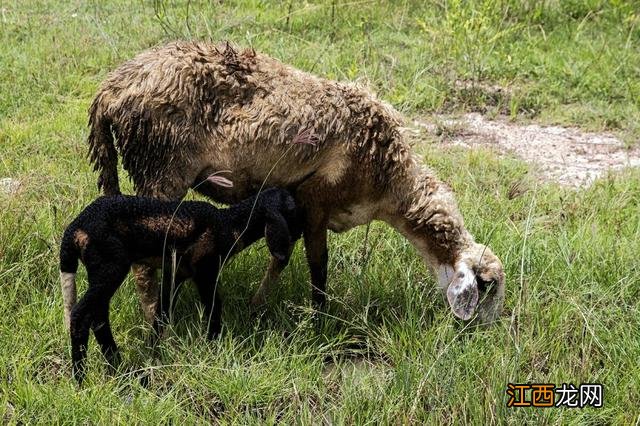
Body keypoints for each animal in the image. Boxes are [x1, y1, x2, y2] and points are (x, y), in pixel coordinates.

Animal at [60, 187, 300, 382]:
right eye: (292, 209)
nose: (298, 234)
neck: (229, 224)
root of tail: (74, 229)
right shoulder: (206, 270)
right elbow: (213, 308)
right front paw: (212, 346)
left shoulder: (175, 274)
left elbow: (162, 314)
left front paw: (153, 352)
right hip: (110, 264)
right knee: (81, 315)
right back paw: (81, 379)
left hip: (100, 269)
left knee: (98, 316)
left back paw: (116, 365)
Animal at [85, 41, 504, 324]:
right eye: (488, 286)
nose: (483, 333)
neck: (390, 182)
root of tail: (110, 90)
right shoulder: (316, 197)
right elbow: (318, 264)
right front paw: (321, 318)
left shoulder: (295, 206)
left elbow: (281, 256)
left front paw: (258, 305)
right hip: (162, 170)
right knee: (145, 264)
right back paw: (159, 325)